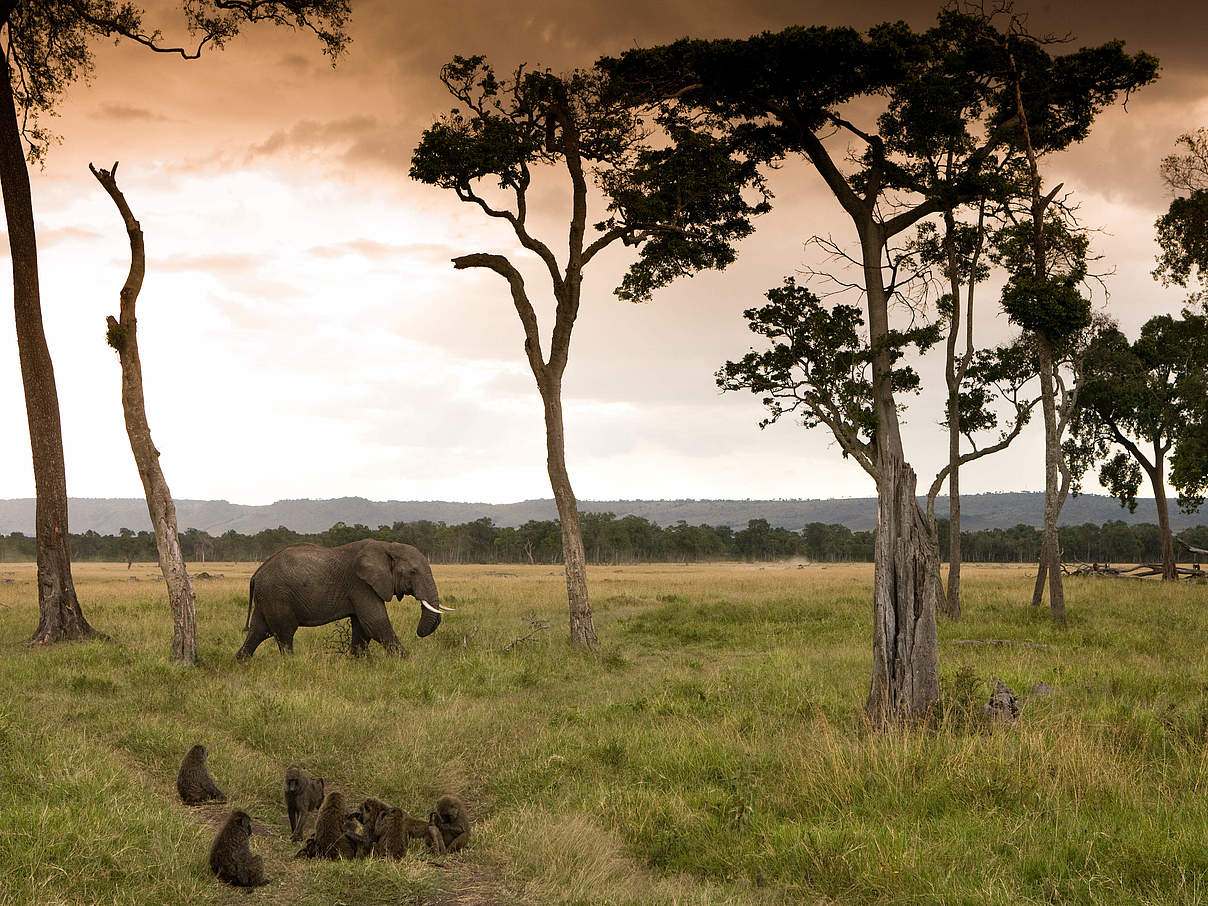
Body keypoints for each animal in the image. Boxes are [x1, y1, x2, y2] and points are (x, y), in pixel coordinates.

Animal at [233, 538, 451, 661]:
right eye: (413, 572)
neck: (387, 546)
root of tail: (257, 573)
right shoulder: (361, 584)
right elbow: (375, 623)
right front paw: (406, 662)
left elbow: (362, 627)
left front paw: (354, 662)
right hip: (277, 595)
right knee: (284, 633)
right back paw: (291, 665)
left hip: (267, 597)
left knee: (259, 631)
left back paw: (240, 662)